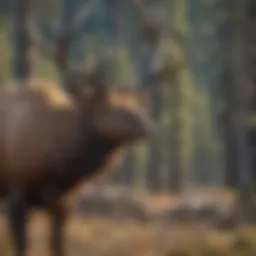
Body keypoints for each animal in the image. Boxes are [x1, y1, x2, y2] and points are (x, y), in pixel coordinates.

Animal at [0, 0, 158, 256]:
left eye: (135, 105)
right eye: (111, 108)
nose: (150, 127)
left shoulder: (64, 205)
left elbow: (58, 247)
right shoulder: (17, 195)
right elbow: (21, 246)